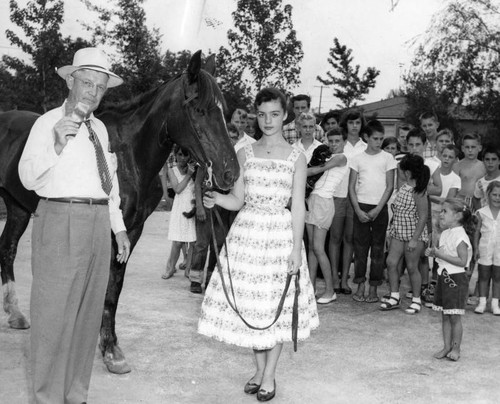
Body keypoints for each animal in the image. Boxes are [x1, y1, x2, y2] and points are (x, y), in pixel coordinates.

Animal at [0, 52, 238, 374]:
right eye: (200, 110)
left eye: (224, 111)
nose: (230, 173)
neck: (130, 156)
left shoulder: (131, 231)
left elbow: (114, 287)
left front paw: (110, 347)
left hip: (16, 208)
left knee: (8, 249)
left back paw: (15, 313)